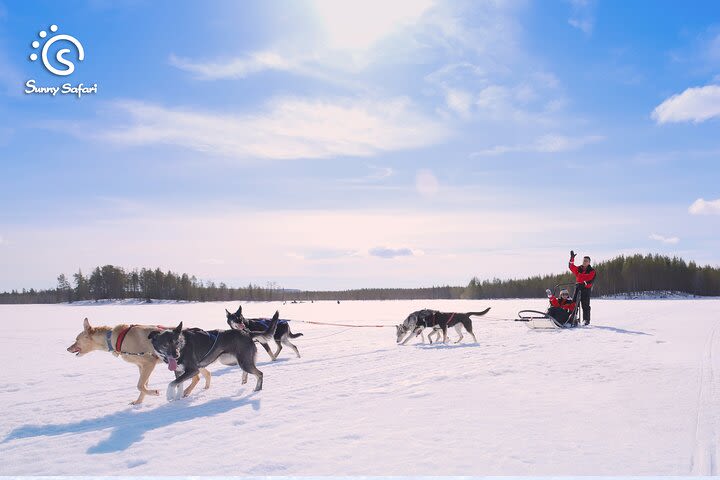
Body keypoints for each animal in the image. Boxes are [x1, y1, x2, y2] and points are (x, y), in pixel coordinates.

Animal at [149, 312, 278, 402]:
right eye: (165, 344)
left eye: (177, 342)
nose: (176, 355)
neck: (183, 346)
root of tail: (247, 333)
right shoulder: (179, 371)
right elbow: (178, 384)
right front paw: (177, 398)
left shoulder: (193, 370)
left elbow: (172, 383)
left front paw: (169, 395)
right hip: (235, 361)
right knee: (249, 371)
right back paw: (244, 380)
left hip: (242, 362)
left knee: (259, 373)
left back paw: (257, 389)